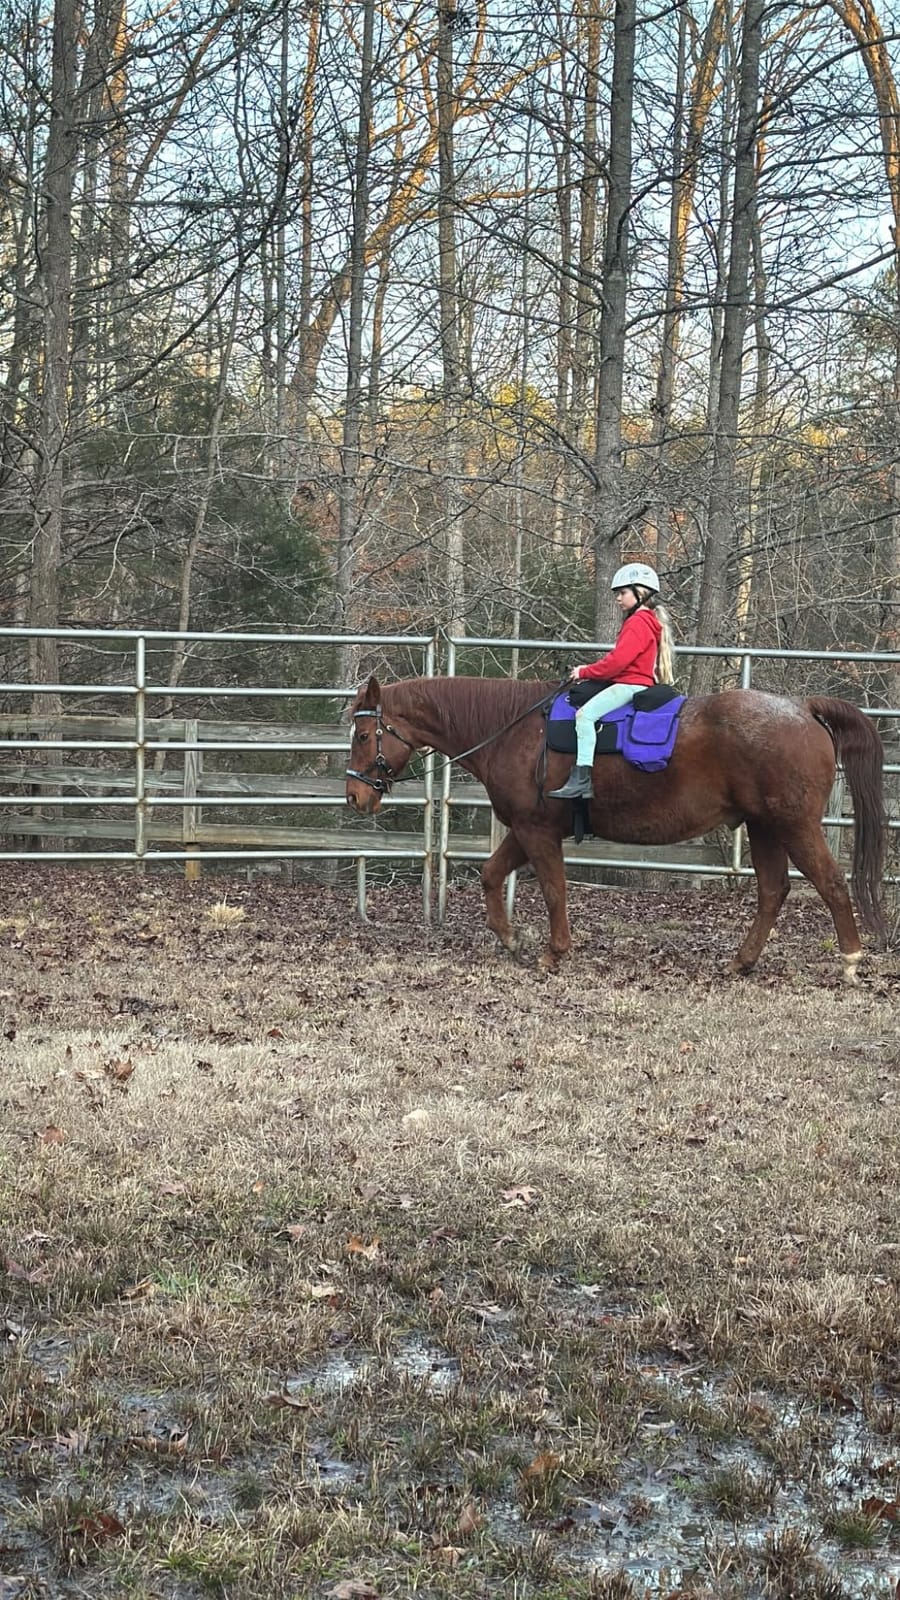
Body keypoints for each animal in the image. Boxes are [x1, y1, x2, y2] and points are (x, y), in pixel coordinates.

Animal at [345, 674, 887, 984]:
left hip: (792, 825)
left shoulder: (537, 831)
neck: (516, 730)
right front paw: (511, 939)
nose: (354, 796)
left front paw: (553, 953)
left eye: (366, 734)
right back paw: (742, 962)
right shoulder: (524, 830)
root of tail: (802, 708)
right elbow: (491, 875)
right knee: (773, 891)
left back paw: (850, 960)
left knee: (831, 884)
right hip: (764, 828)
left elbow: (555, 890)